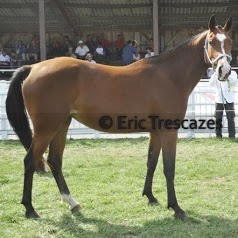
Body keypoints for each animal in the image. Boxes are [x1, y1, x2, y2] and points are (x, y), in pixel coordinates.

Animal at [5, 14, 232, 219]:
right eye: (211, 41)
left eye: (229, 42)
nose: (225, 70)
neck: (169, 76)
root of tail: (33, 67)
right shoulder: (168, 131)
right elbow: (169, 168)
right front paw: (176, 208)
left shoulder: (156, 132)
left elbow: (151, 162)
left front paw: (150, 197)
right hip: (46, 128)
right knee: (30, 161)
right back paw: (30, 209)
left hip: (61, 125)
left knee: (54, 161)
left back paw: (72, 203)